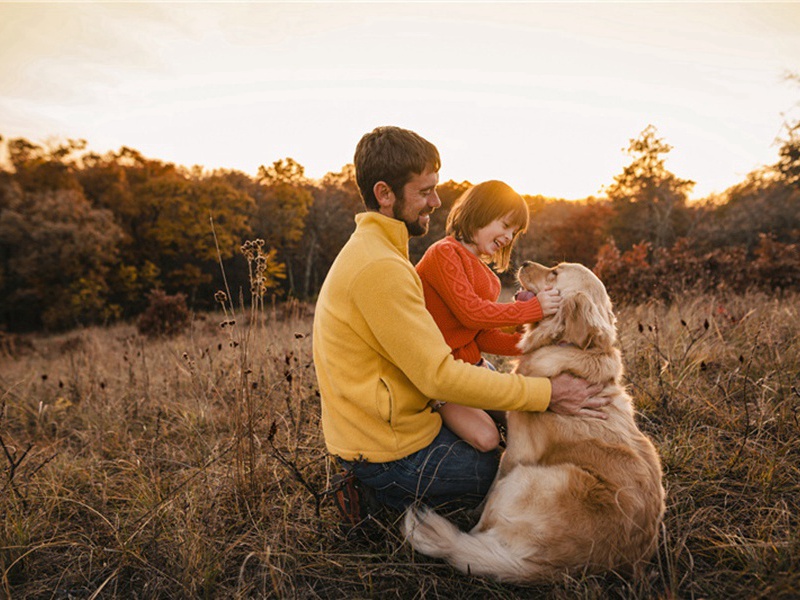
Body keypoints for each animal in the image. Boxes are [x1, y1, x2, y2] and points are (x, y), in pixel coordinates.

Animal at [404, 262, 664, 580]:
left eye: (555, 273)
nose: (524, 263)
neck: (568, 346)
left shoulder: (517, 452)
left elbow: (490, 489)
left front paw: (474, 511)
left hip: (524, 479)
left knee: (480, 528)